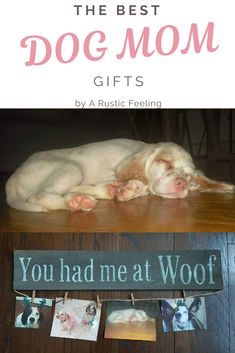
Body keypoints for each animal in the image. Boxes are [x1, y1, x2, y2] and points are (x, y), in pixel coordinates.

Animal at [5, 138, 235, 210]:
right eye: (164, 162)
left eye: (188, 176)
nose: (182, 183)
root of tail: (12, 179)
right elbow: (142, 183)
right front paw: (131, 188)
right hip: (71, 168)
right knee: (39, 197)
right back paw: (77, 201)